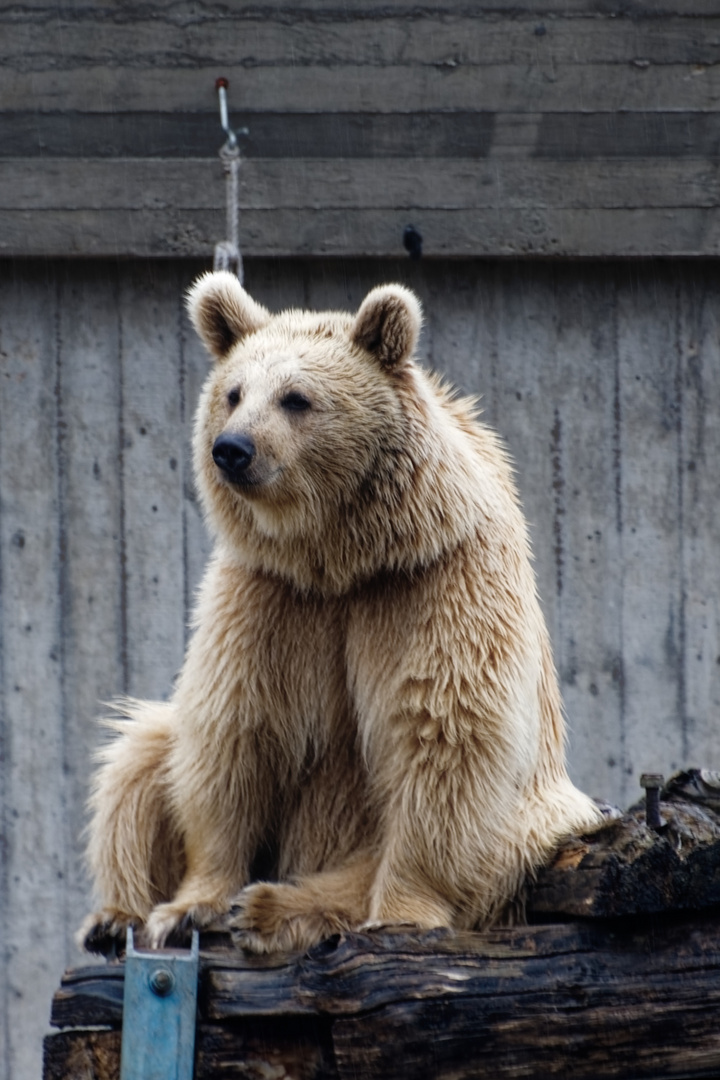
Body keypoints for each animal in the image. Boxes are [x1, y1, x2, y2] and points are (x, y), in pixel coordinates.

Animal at [78, 272, 604, 954]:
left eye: (296, 398)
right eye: (233, 392)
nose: (232, 449)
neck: (339, 556)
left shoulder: (434, 582)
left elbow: (443, 730)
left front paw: (401, 910)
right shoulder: (270, 595)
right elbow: (232, 731)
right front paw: (191, 906)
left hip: (531, 824)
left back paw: (274, 907)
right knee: (138, 759)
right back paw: (116, 916)